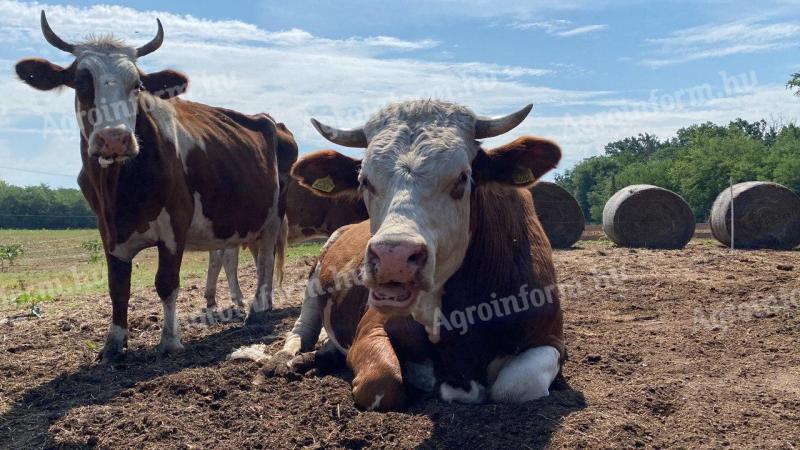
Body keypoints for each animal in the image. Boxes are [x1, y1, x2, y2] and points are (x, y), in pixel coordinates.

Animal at [14, 11, 296, 362]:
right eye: (81, 81)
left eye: (137, 85)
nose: (115, 138)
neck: (120, 188)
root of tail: (270, 120)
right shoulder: (107, 228)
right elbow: (117, 287)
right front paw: (114, 343)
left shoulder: (176, 222)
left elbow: (166, 282)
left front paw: (170, 340)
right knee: (251, 257)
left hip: (273, 215)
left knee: (266, 258)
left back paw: (258, 309)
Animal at [262, 100, 564, 414]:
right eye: (364, 181)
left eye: (462, 177)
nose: (393, 257)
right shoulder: (372, 324)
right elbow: (382, 383)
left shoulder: (551, 338)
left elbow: (513, 386)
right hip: (315, 279)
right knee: (302, 328)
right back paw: (288, 359)